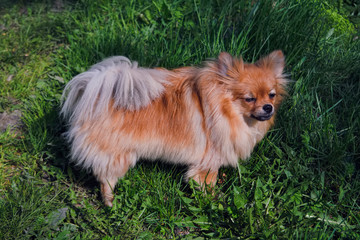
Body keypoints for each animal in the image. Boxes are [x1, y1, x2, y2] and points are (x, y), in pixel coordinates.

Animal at [61, 50, 286, 206]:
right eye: (249, 99)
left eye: (271, 95)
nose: (268, 107)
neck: (225, 110)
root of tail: (96, 92)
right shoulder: (208, 163)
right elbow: (207, 185)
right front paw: (213, 202)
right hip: (118, 154)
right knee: (105, 178)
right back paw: (110, 202)